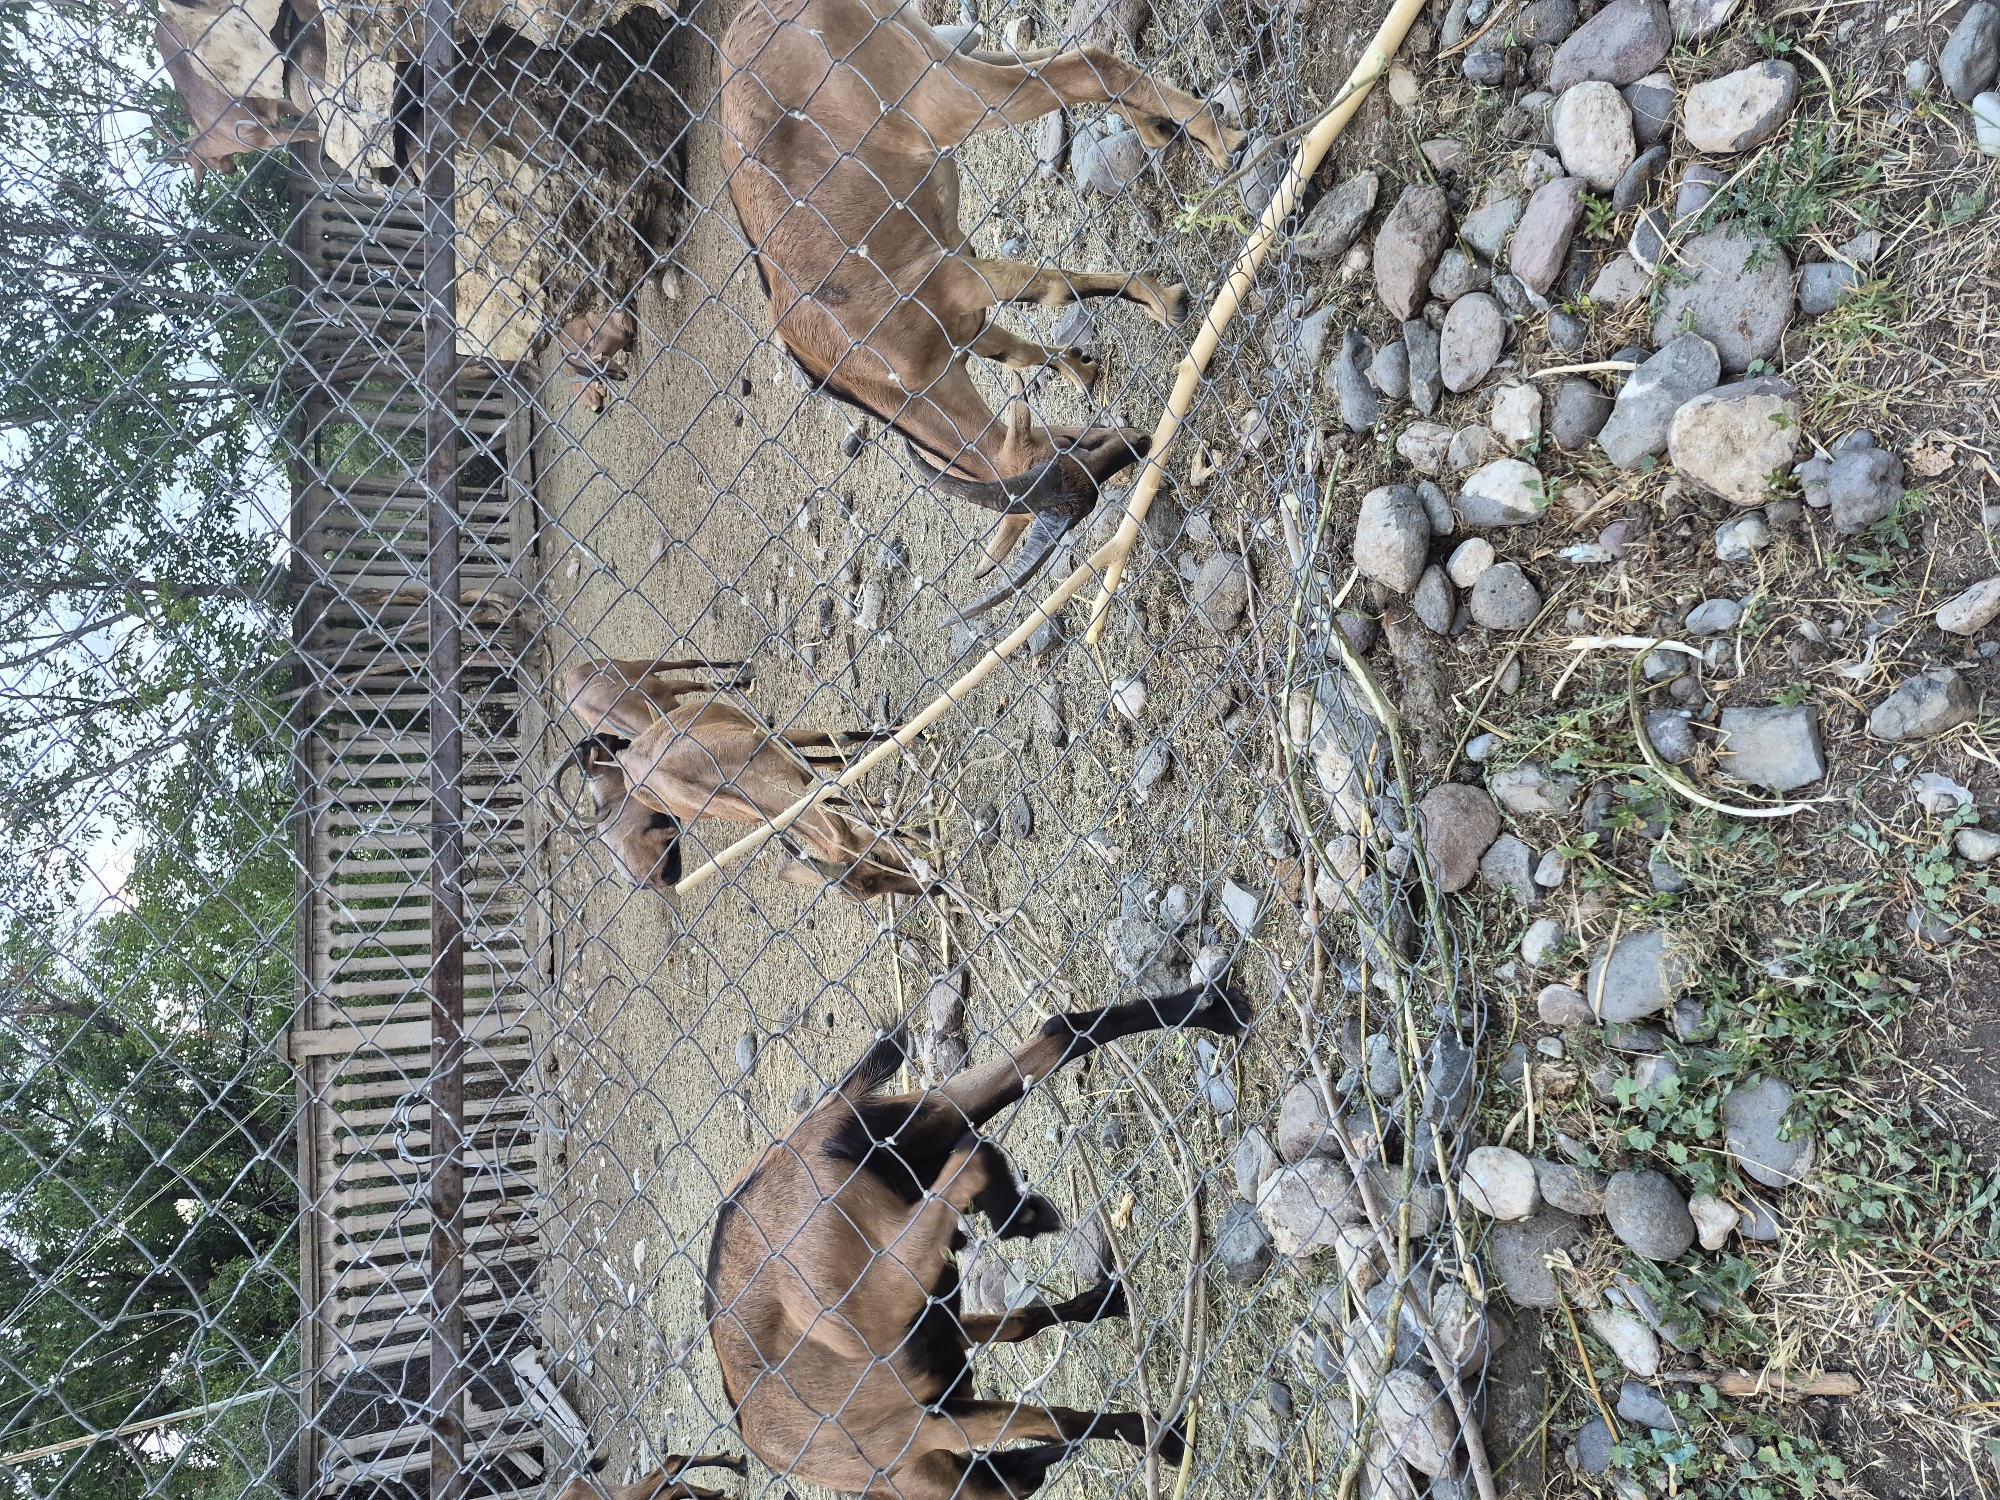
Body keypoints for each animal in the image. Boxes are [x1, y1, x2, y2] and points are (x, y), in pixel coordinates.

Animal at [557, 655, 923, 900]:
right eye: (863, 890)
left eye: (877, 857)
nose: (928, 888)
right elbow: (831, 778)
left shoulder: (771, 738)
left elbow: (836, 743)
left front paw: (911, 735)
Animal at [705, 982, 1252, 1500]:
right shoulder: (944, 1375)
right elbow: (1027, 1346)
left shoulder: (930, 1409)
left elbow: (1052, 1413)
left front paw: (1154, 1436)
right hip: (924, 1139)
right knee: (1050, 1045)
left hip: (884, 1247)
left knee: (994, 1124)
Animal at [718, 0, 1244, 620]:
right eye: (1067, 448)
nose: (1139, 444)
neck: (865, 368)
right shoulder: (960, 306)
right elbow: (1015, 350)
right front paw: (1083, 368)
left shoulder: (951, 276)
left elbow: (1052, 289)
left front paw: (1167, 302)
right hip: (932, 50)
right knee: (1056, 59)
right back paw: (1160, 130)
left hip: (939, 95)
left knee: (1080, 66)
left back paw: (1223, 138)